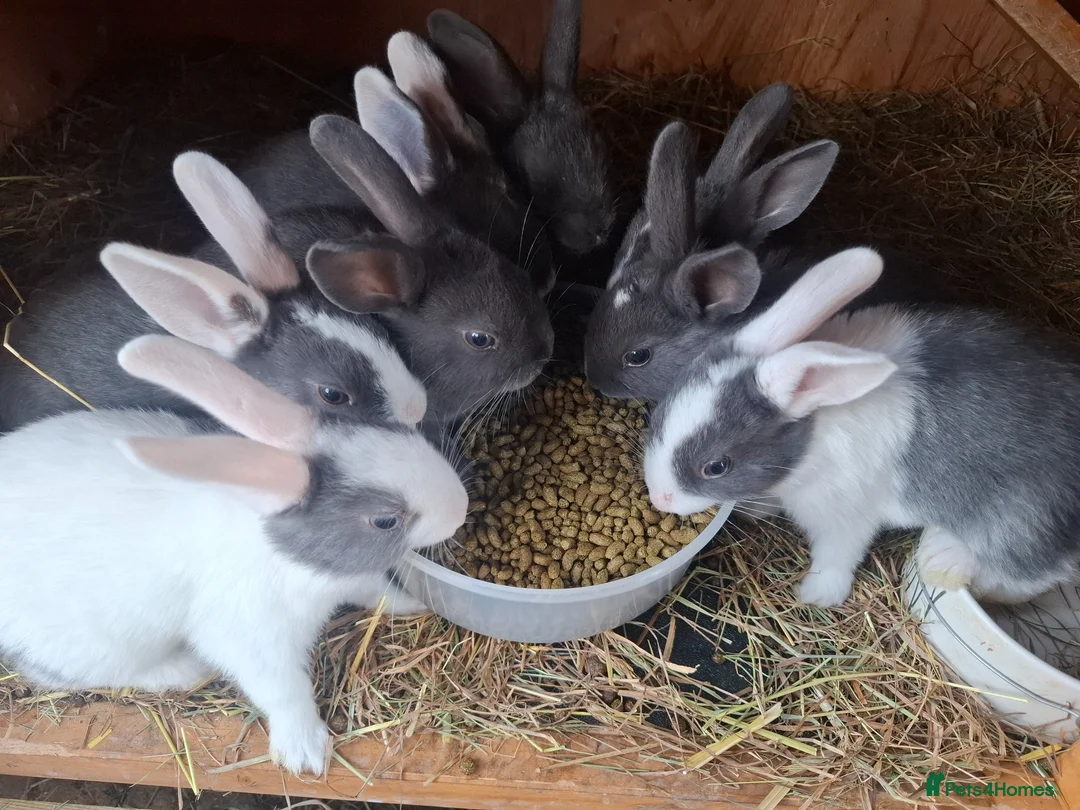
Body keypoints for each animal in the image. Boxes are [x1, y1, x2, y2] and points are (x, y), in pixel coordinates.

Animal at [0, 333, 468, 776]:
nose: (461, 507)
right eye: (385, 520)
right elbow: (284, 692)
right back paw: (184, 670)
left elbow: (376, 591)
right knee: (59, 671)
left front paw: (414, 604)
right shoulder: (250, 638)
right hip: (103, 643)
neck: (288, 559)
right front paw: (305, 753)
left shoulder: (348, 578)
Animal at [644, 246, 1080, 608]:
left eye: (716, 467)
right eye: (658, 416)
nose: (660, 499)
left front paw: (818, 594)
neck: (815, 426)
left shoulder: (846, 516)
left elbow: (836, 555)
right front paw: (755, 509)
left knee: (1029, 576)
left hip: (1022, 522)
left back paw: (943, 558)